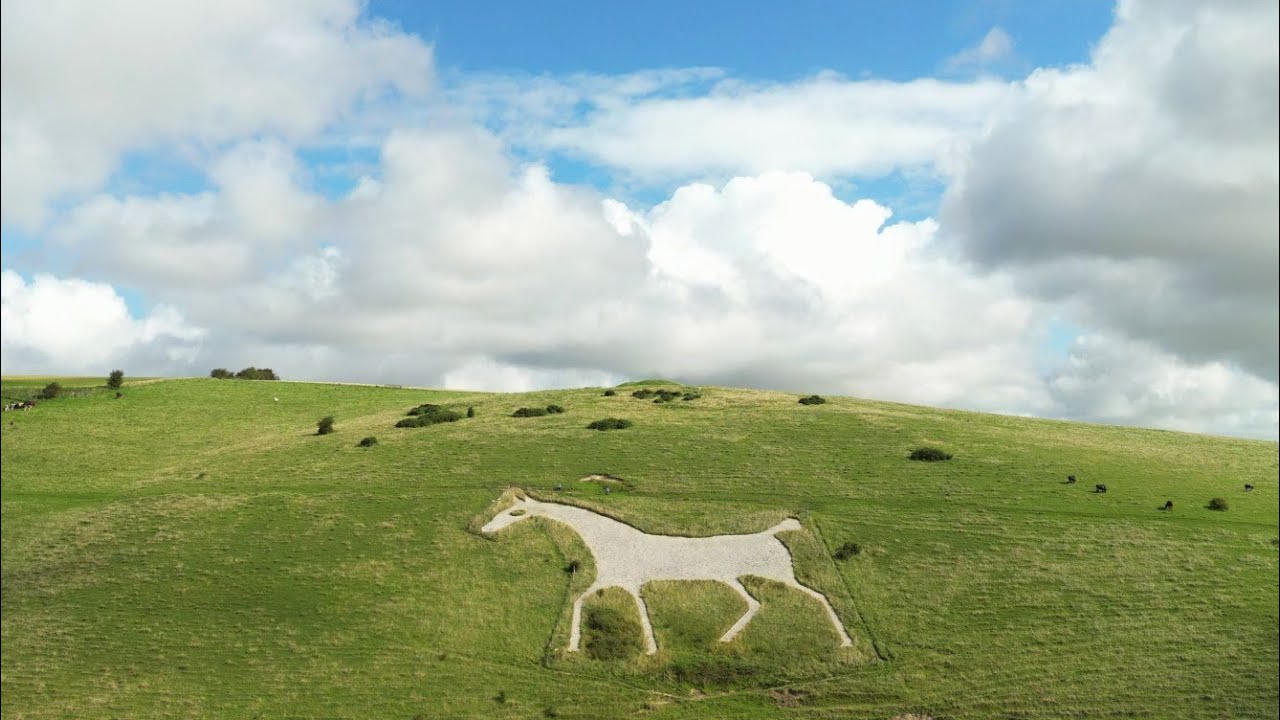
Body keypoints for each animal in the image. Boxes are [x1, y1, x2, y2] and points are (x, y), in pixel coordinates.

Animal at [481, 494, 853, 655]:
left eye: (514, 512)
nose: (485, 530)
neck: (608, 539)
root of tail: (773, 532)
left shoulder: (626, 582)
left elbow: (630, 610)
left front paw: (650, 649)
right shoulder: (611, 581)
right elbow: (581, 601)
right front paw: (573, 646)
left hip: (778, 574)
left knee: (819, 596)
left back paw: (846, 641)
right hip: (734, 579)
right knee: (755, 603)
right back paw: (724, 639)